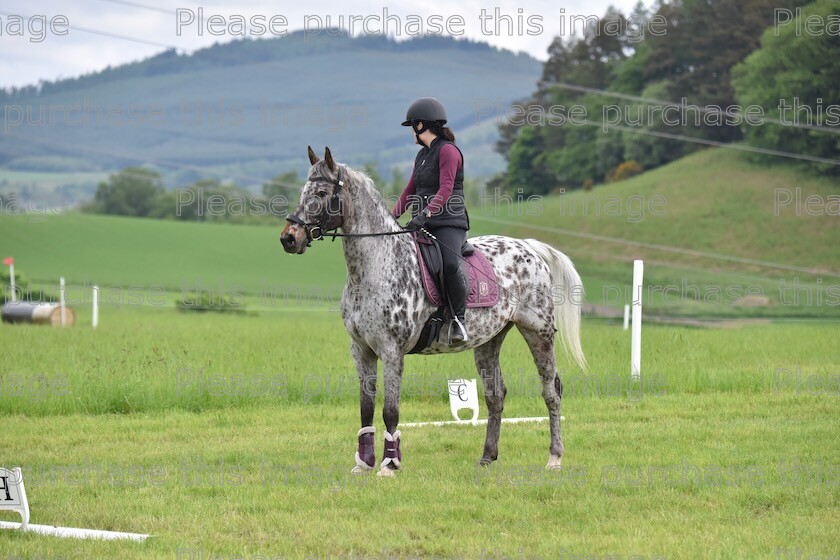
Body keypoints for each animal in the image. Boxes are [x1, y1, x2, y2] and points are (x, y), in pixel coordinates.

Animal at [278, 145, 588, 476]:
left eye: (322, 192)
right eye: (303, 191)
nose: (289, 238)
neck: (376, 266)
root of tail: (529, 248)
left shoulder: (391, 350)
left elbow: (390, 410)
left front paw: (389, 465)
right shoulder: (361, 349)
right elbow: (366, 408)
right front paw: (363, 463)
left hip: (537, 331)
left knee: (551, 390)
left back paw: (554, 457)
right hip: (489, 340)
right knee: (495, 395)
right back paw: (487, 457)